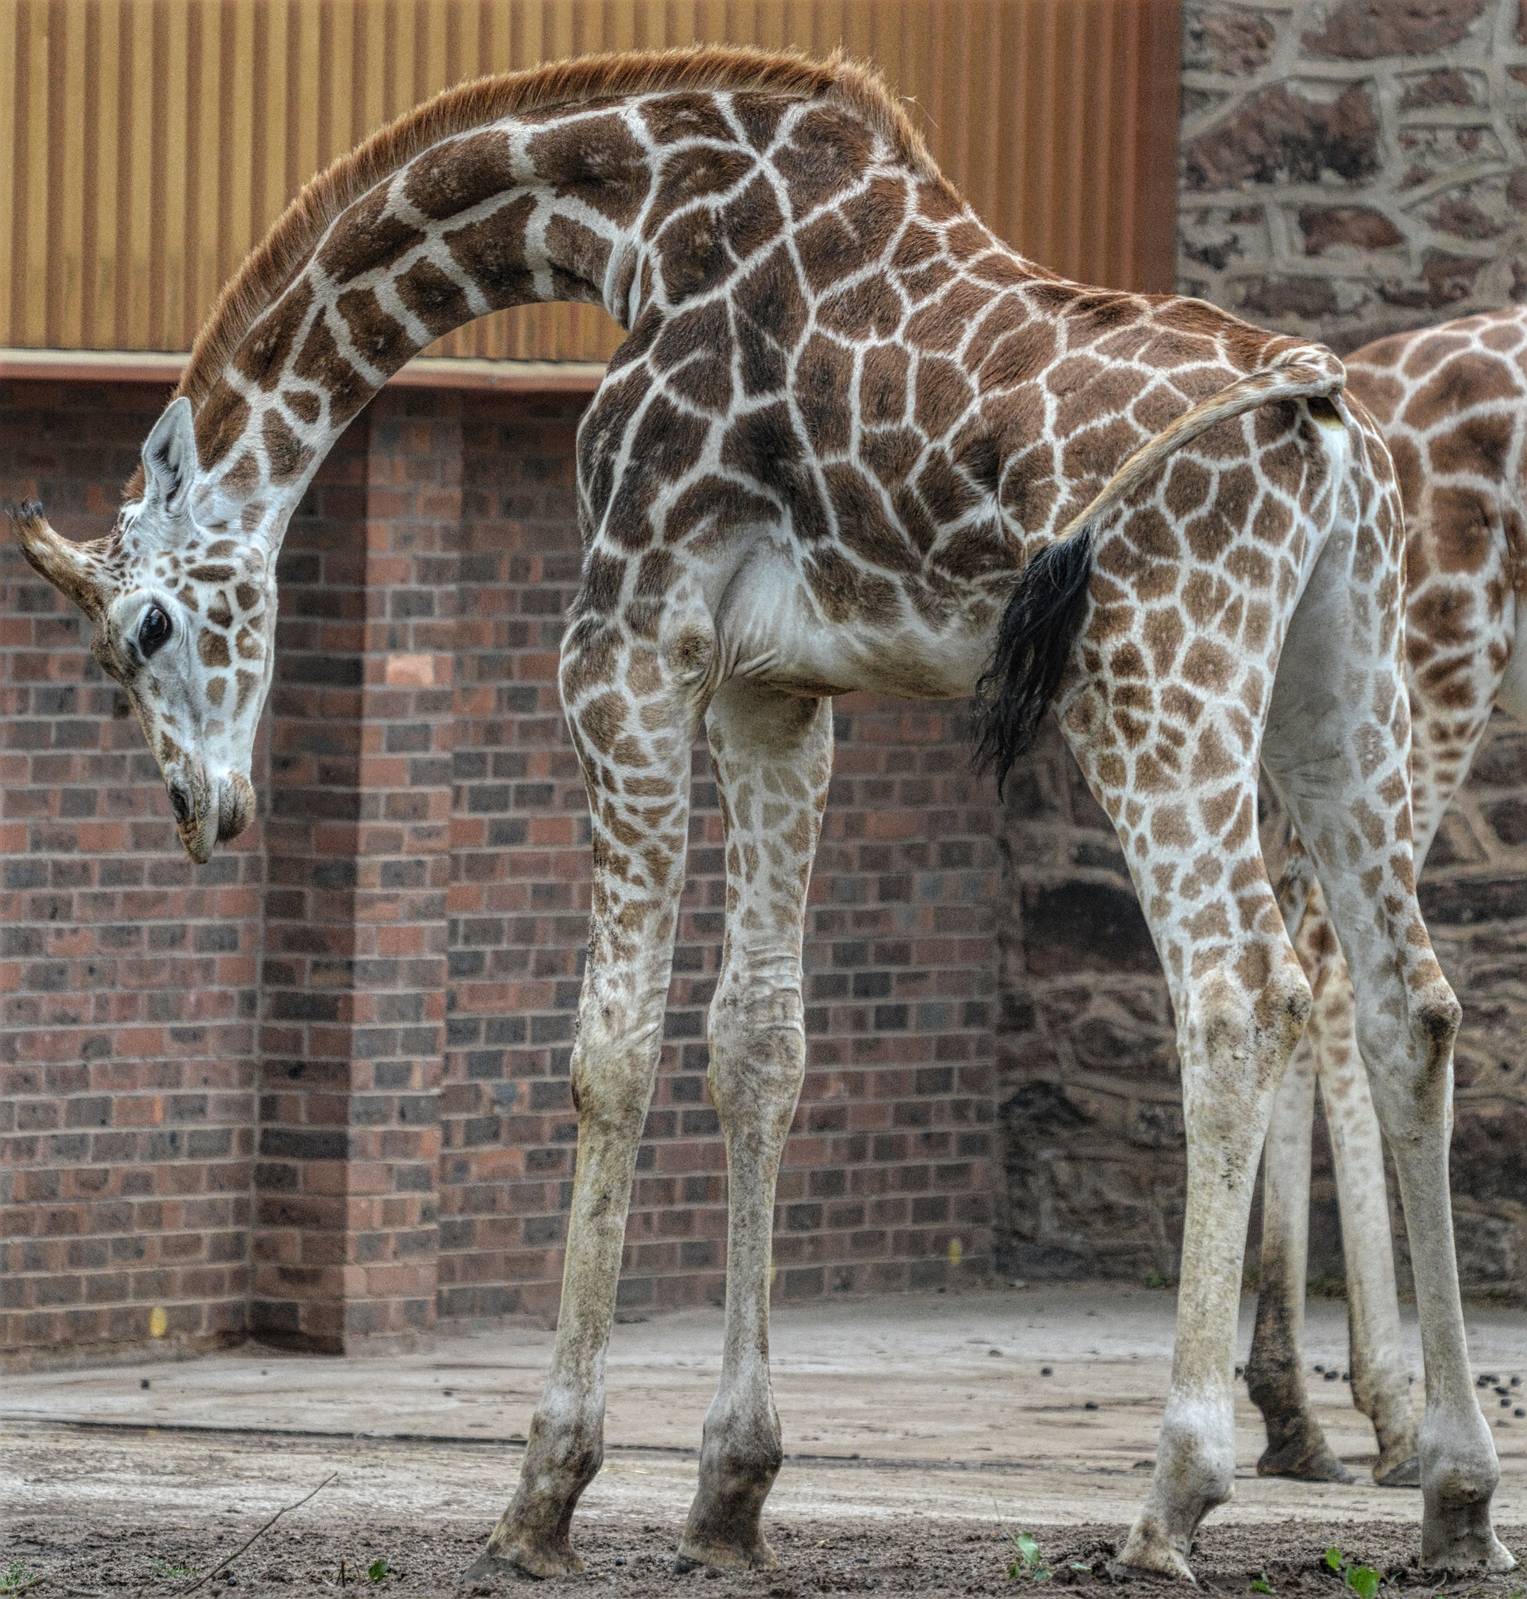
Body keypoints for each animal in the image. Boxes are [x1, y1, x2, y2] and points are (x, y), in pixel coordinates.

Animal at [6, 45, 1513, 1584]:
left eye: (143, 628)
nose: (202, 808)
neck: (633, 225)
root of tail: (1318, 413)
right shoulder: (773, 685)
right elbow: (759, 1043)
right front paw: (730, 1489)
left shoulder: (622, 644)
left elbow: (610, 1051)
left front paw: (545, 1489)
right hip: (1347, 686)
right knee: (1407, 1005)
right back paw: (1452, 1491)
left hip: (1158, 677)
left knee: (1239, 992)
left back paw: (1172, 1495)